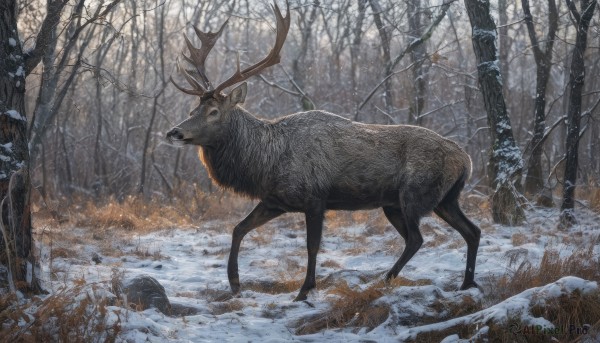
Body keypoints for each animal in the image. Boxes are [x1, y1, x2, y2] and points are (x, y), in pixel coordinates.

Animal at [165, 3, 482, 304]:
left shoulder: (315, 198)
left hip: (414, 194)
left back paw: (386, 278)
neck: (266, 162)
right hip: (435, 200)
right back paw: (465, 283)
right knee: (470, 231)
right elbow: (238, 228)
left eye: (214, 112)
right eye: (193, 109)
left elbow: (312, 245)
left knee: (417, 238)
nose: (174, 132)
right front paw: (234, 283)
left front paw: (304, 290)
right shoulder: (275, 201)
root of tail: (466, 160)